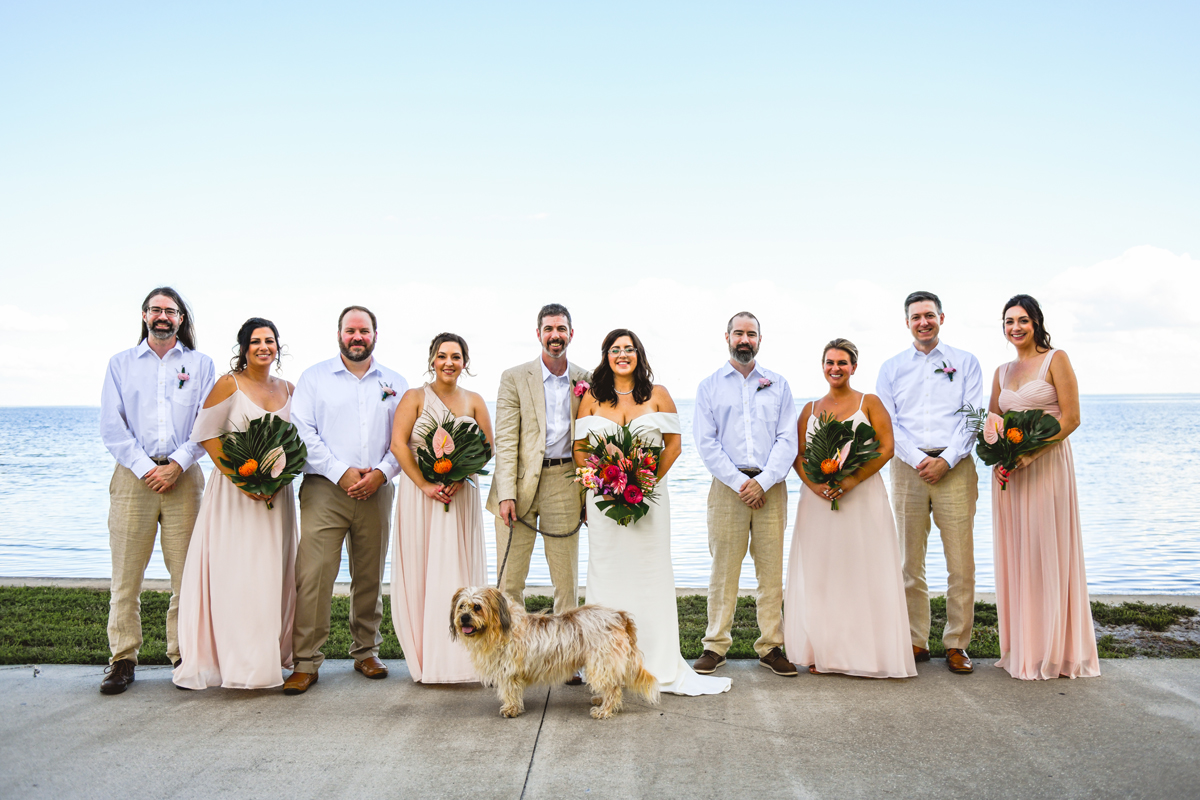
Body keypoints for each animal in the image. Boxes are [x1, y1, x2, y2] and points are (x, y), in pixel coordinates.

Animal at [451, 587, 662, 719]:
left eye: (477, 607)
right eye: (462, 606)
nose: (464, 618)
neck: (502, 628)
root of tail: (618, 615)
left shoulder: (509, 673)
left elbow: (510, 692)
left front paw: (511, 709)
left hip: (601, 662)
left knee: (614, 689)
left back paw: (604, 710)